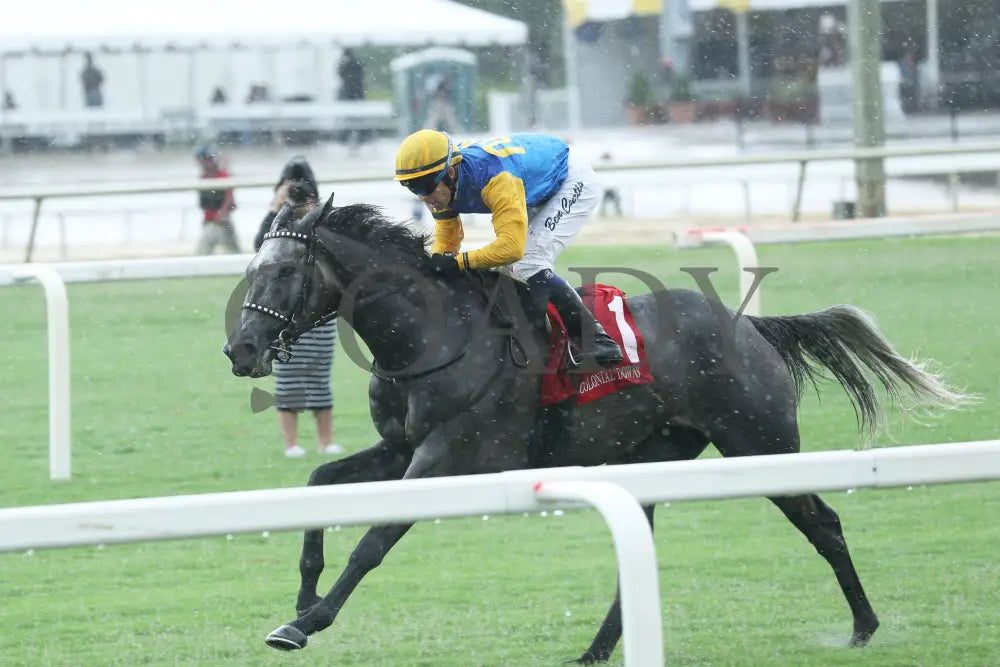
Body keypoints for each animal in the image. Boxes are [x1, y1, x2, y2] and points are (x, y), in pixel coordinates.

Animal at [225, 198, 960, 664]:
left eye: (284, 272)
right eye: (251, 269)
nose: (242, 348)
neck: (433, 334)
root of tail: (749, 325)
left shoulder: (449, 456)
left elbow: (373, 541)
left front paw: (305, 623)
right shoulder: (399, 447)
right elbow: (319, 483)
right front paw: (302, 594)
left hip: (760, 441)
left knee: (824, 522)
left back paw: (863, 625)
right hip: (656, 454)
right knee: (650, 534)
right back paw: (599, 648)